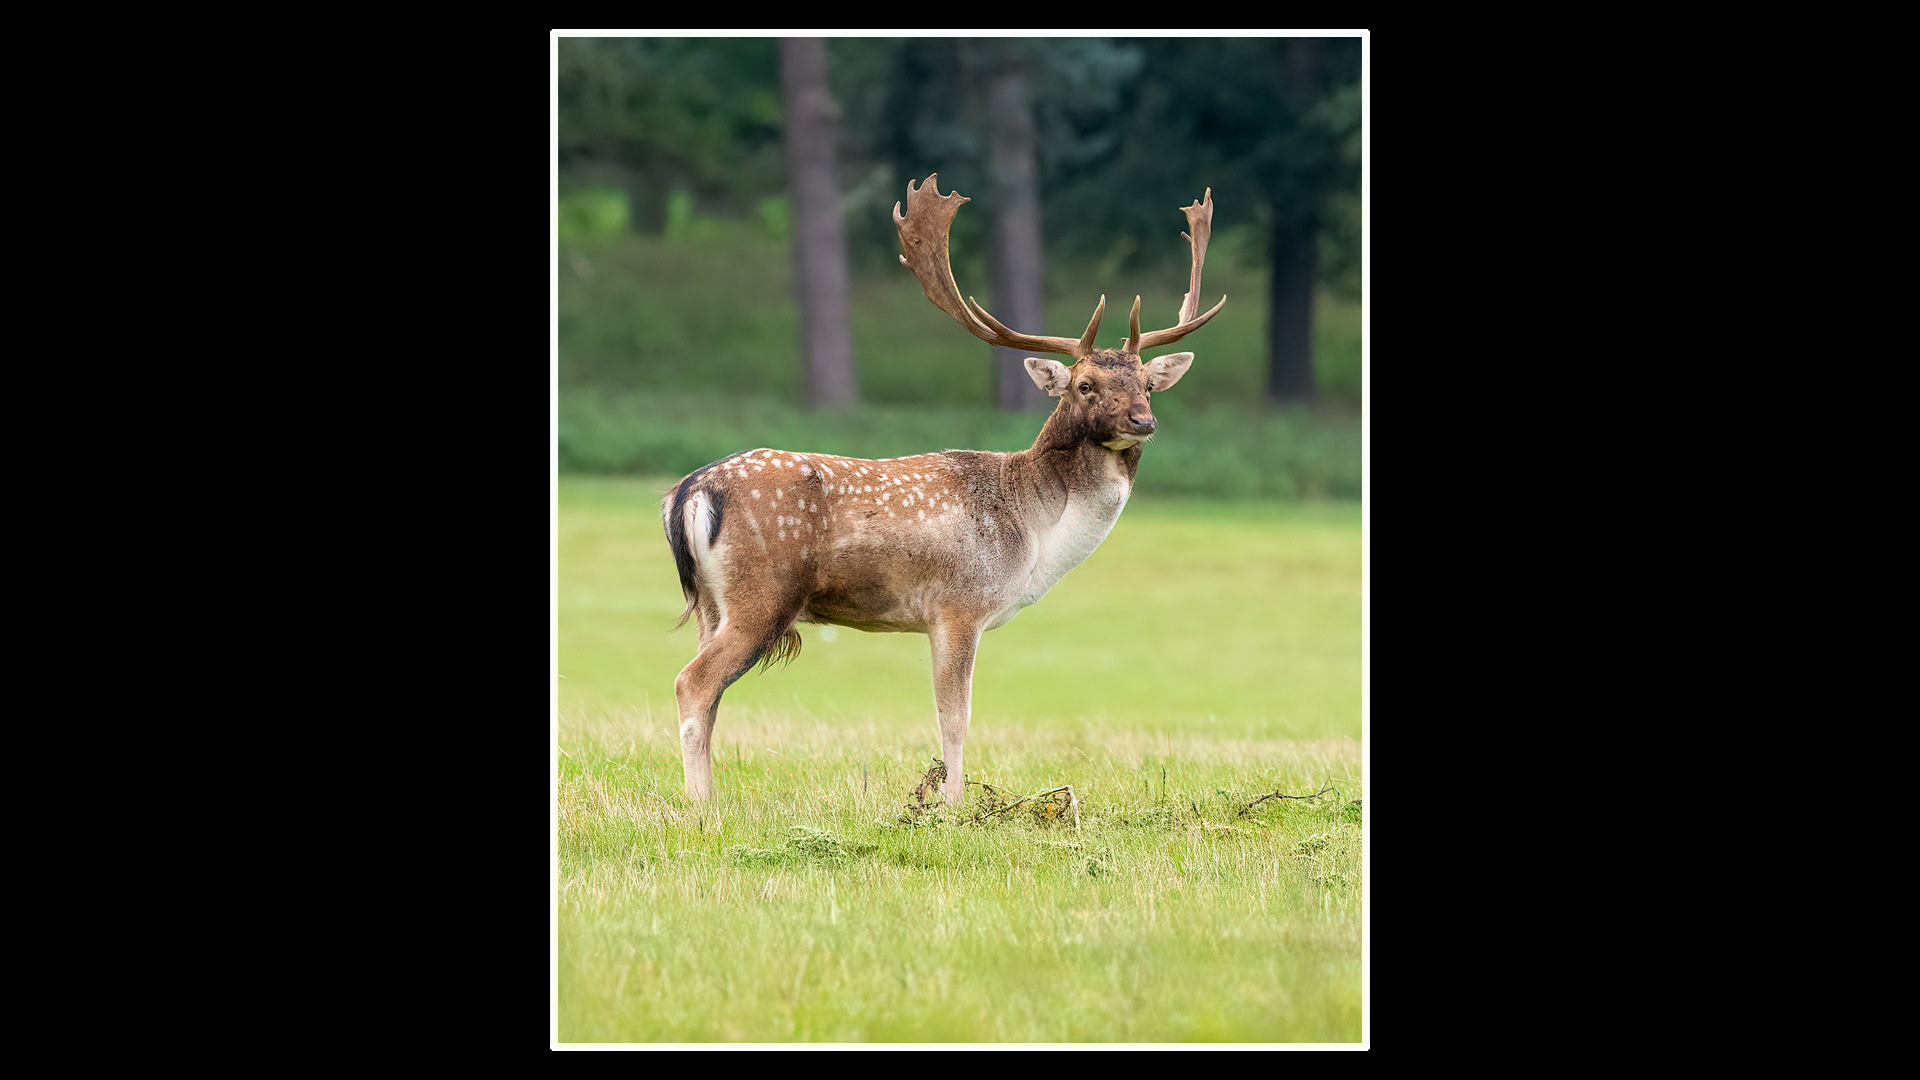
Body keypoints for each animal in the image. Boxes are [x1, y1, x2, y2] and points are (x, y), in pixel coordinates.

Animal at [661, 173, 1224, 805]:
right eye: (1084, 385)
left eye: (1148, 383)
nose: (1142, 421)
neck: (1034, 534)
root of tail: (689, 491)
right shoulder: (958, 604)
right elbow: (955, 715)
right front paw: (953, 803)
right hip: (761, 592)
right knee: (692, 683)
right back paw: (702, 806)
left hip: (712, 603)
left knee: (706, 688)